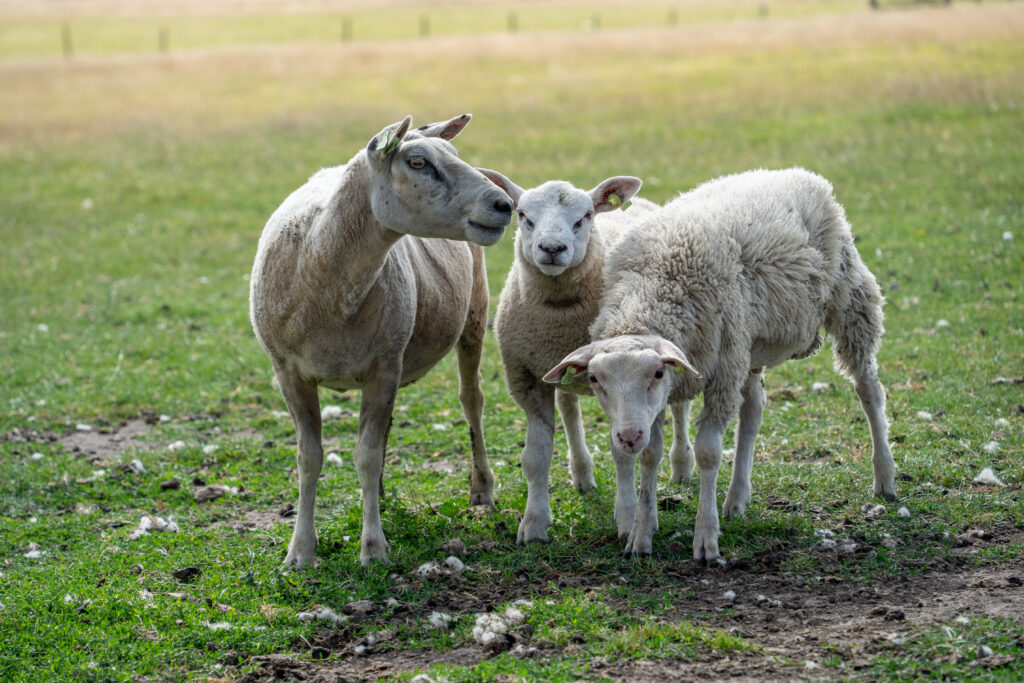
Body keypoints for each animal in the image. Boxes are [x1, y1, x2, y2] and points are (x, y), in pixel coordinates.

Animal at [249, 114, 512, 569]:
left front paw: (372, 548)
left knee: (471, 400)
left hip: (474, 312)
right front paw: (300, 552)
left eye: (454, 155)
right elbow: (309, 458)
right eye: (418, 161)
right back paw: (384, 498)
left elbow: (366, 457)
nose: (504, 204)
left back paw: (481, 489)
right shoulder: (288, 373)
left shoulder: (384, 368)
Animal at [479, 171, 696, 544]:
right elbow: (535, 457)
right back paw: (582, 475)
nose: (552, 249)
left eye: (586, 216)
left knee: (679, 408)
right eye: (522, 215)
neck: (559, 315)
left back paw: (681, 465)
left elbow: (623, 453)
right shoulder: (527, 379)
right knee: (569, 409)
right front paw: (534, 524)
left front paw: (627, 518)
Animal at [544, 167, 897, 565]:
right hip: (749, 341)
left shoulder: (721, 374)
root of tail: (795, 173)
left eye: (657, 372)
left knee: (869, 390)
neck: (654, 287)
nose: (628, 437)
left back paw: (885, 478)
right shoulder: (669, 395)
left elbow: (708, 453)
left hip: (848, 299)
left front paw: (706, 538)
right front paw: (641, 534)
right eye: (594, 378)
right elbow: (650, 456)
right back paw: (737, 498)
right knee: (753, 410)